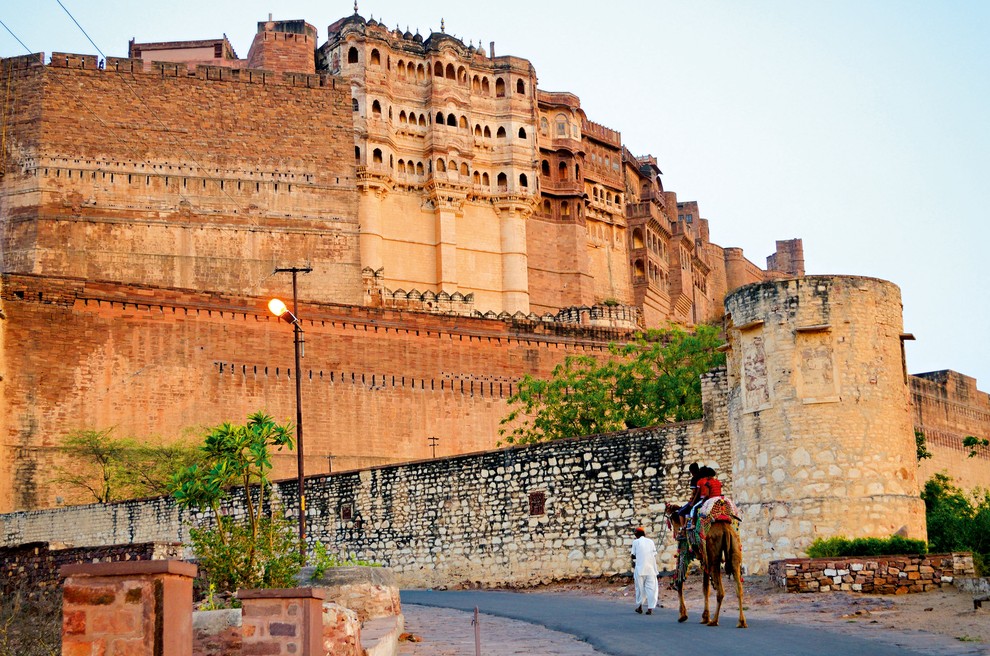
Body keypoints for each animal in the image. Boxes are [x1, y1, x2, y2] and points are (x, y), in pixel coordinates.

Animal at [668, 502, 744, 632]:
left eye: (671, 521)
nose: (676, 534)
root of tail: (725, 529)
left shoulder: (684, 548)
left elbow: (680, 579)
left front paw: (683, 616)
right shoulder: (704, 559)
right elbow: (705, 587)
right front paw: (704, 617)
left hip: (713, 554)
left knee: (721, 591)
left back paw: (714, 621)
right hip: (734, 547)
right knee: (739, 588)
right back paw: (741, 622)